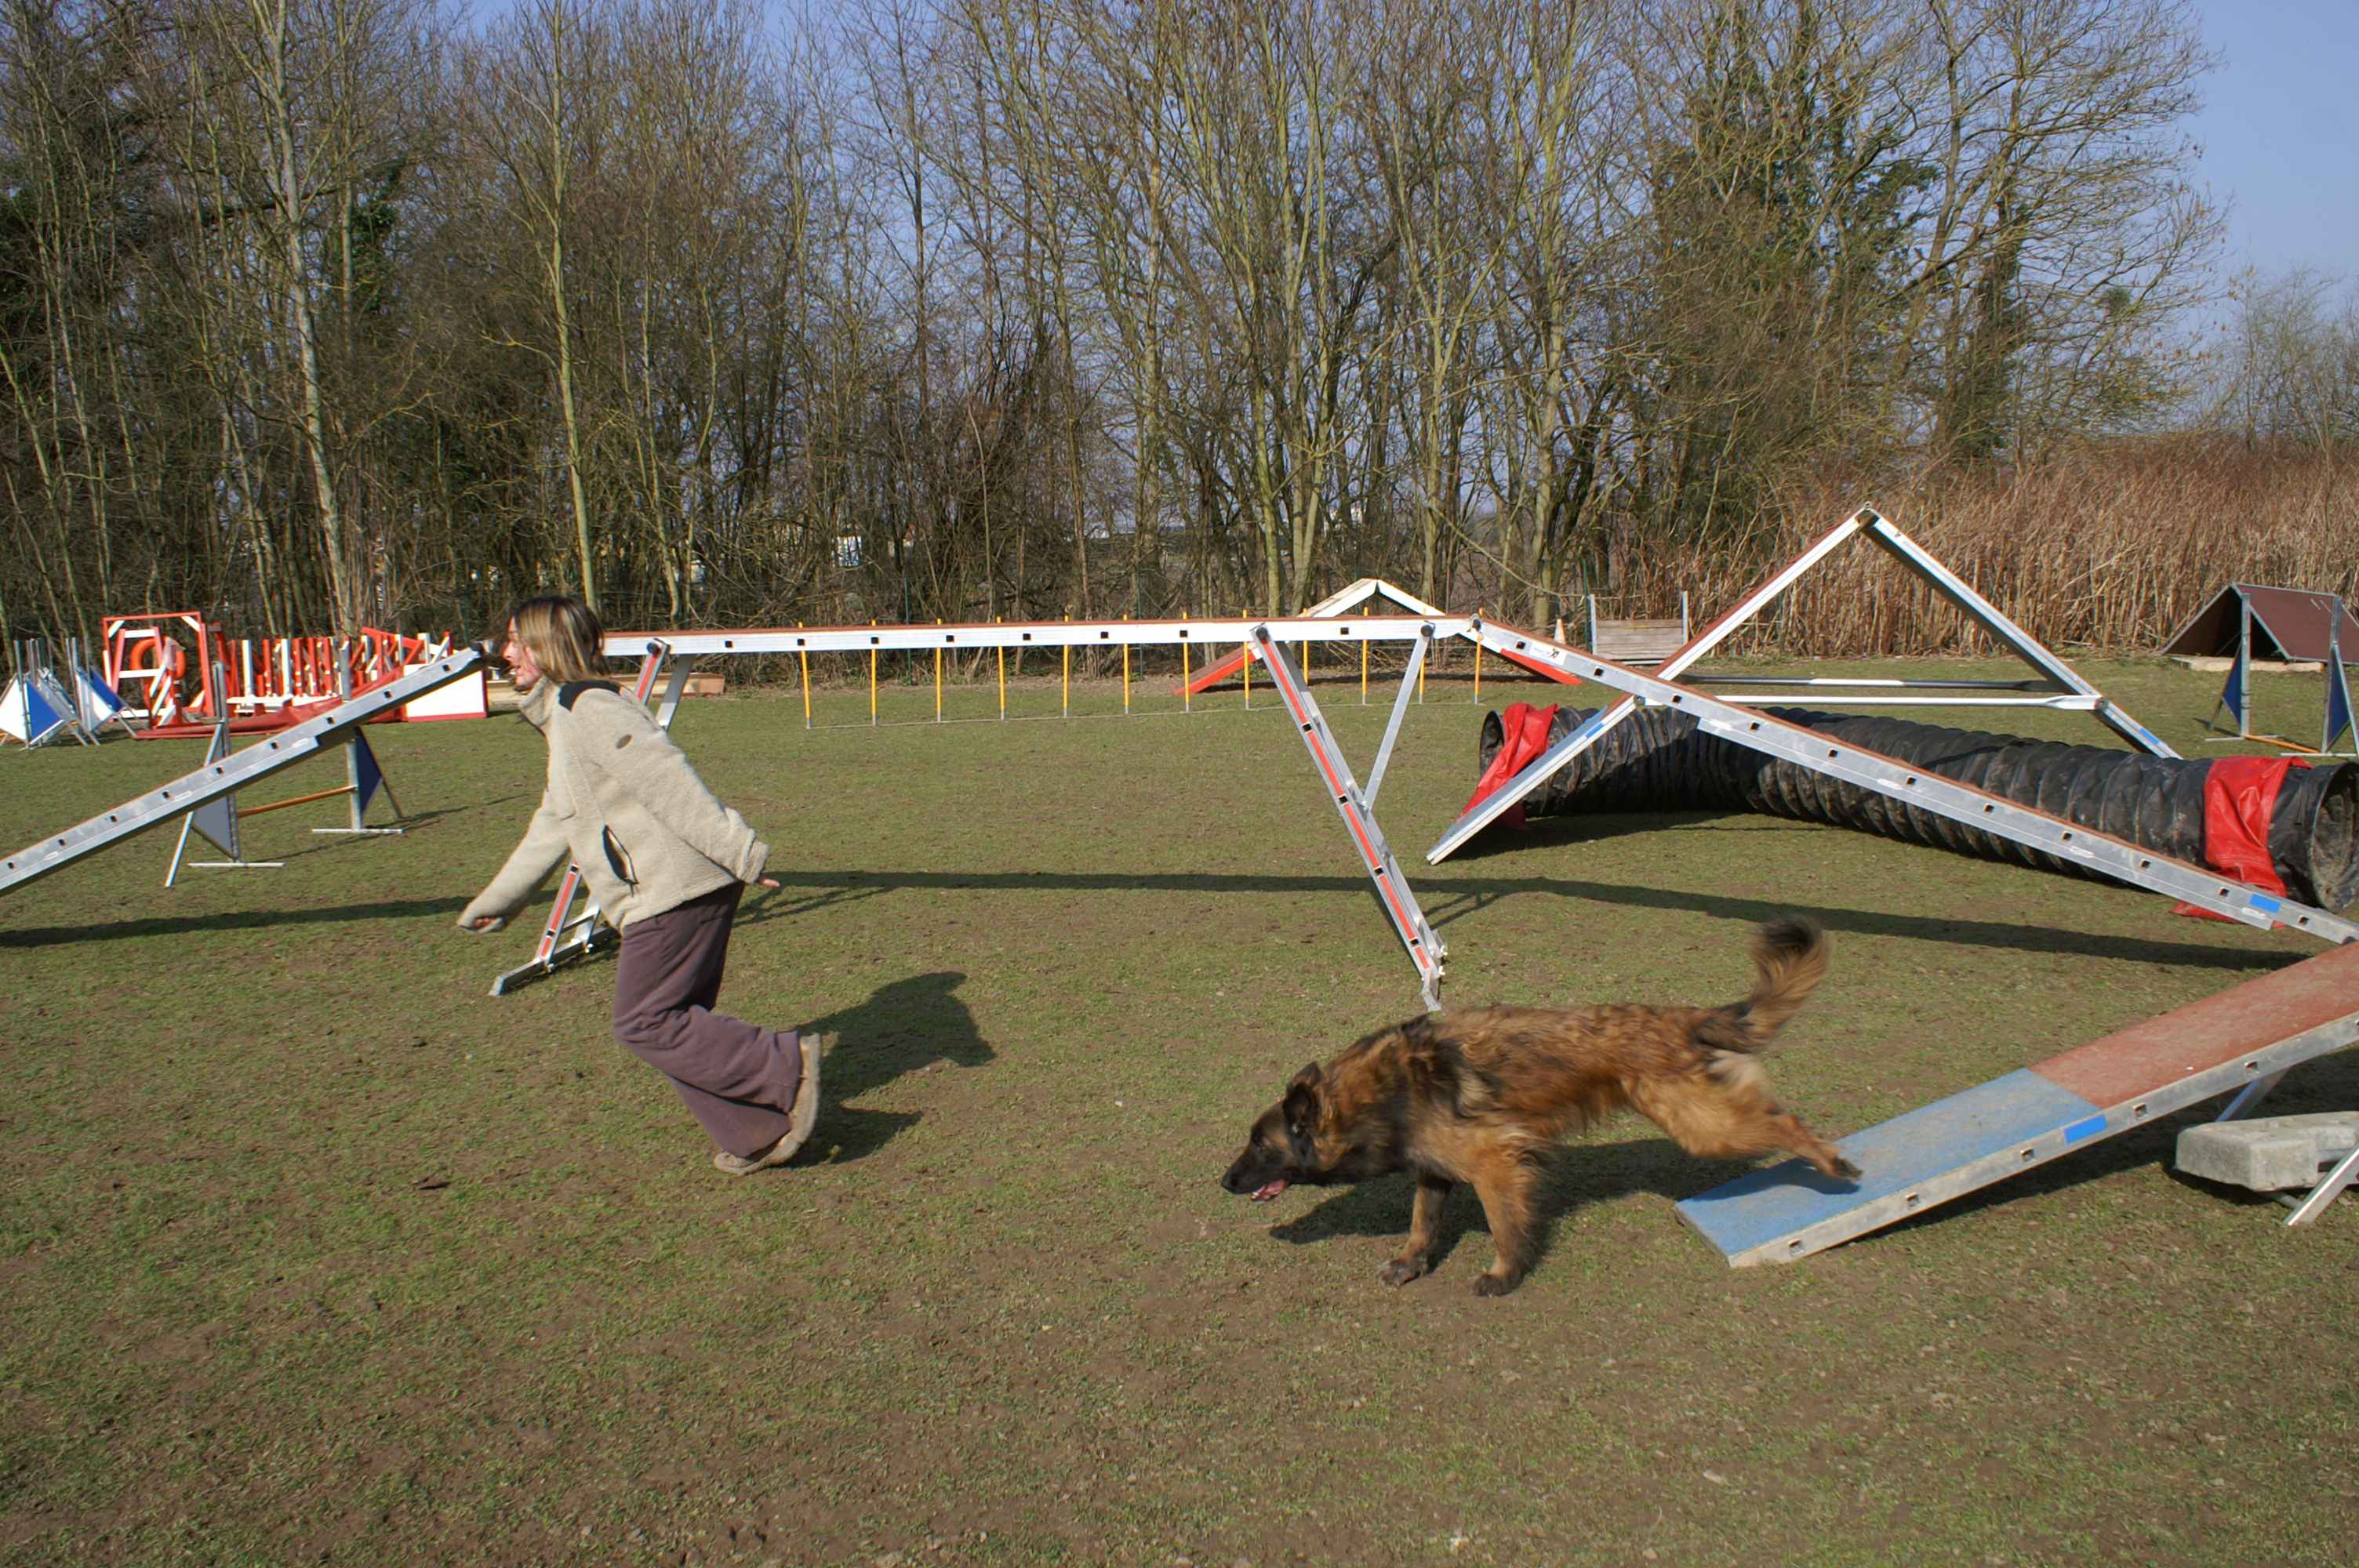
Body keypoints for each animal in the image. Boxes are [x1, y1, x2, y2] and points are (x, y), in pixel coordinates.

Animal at [1219, 917, 1859, 1295]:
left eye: (1260, 1145)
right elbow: (1422, 1224)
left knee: (1784, 1121)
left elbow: (1505, 1226)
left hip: (1705, 1128)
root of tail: (1677, 1018)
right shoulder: (1434, 1170)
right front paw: (1410, 1262)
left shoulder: (1497, 1163)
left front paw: (1505, 1274)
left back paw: (1832, 1162)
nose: (1224, 1181)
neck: (1379, 1093)